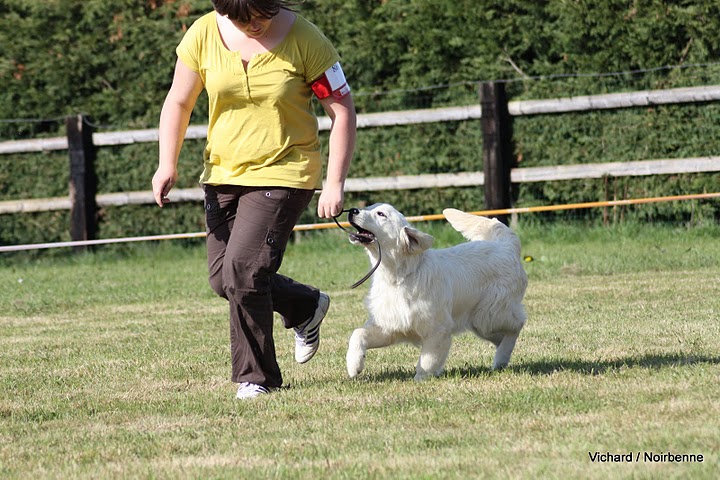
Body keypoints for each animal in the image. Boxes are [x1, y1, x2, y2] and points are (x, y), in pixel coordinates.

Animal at [346, 204, 524, 380]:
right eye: (370, 206)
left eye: (381, 214)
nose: (353, 210)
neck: (399, 277)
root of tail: (505, 246)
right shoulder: (390, 325)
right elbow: (358, 333)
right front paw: (354, 365)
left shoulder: (438, 329)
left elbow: (427, 360)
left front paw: (422, 379)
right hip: (480, 324)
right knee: (502, 336)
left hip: (489, 316)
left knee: (517, 325)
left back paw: (501, 356)